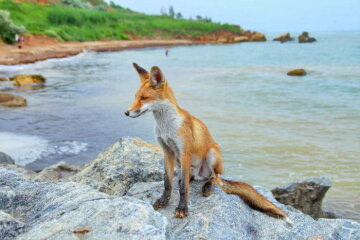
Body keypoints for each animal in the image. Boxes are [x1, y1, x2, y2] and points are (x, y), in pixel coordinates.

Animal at [125, 63, 292, 223]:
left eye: (144, 98)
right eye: (135, 97)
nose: (126, 113)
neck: (166, 127)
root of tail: (200, 174)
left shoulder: (184, 152)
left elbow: (184, 189)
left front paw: (182, 208)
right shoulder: (167, 152)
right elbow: (168, 183)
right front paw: (163, 201)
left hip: (212, 155)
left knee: (215, 177)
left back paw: (207, 186)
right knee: (189, 178)